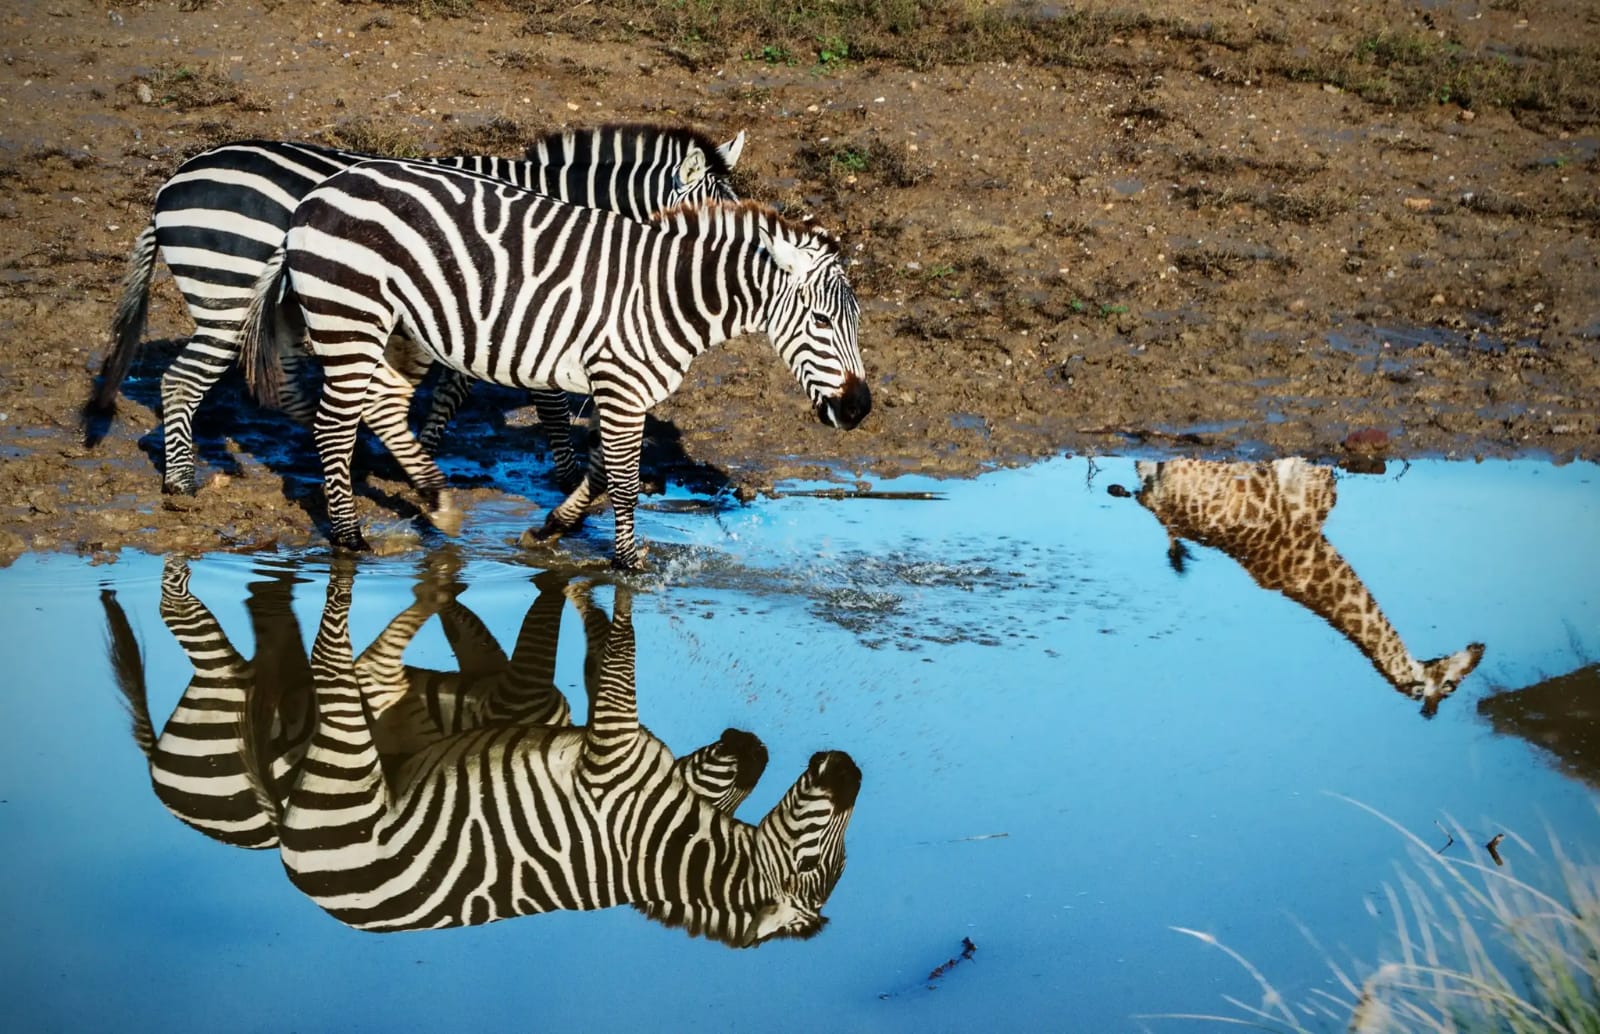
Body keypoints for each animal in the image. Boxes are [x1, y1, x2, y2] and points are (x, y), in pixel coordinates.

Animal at [81, 124, 742, 499]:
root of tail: (170, 184)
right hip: (232, 293)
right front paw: (565, 473)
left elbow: (453, 388)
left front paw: (416, 454)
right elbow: (545, 400)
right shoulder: (522, 304)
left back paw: (349, 453)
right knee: (182, 382)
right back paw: (181, 482)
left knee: (289, 387)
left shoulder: (476, 308)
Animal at [236, 159, 870, 569]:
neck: (668, 294)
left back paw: (437, 501)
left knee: (384, 405)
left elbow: (602, 473)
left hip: (399, 330)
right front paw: (630, 566)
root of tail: (317, 194)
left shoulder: (626, 389)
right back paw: (350, 540)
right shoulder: (620, 383)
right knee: (333, 426)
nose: (860, 410)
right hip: (351, 314)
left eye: (856, 321)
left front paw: (551, 529)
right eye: (820, 322)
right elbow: (623, 485)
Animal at [286, 569, 864, 941]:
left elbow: (618, 658)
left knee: (340, 665)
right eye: (816, 862)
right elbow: (609, 654)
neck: (661, 846)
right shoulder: (621, 751)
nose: (851, 771)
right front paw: (593, 582)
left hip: (349, 764)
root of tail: (306, 882)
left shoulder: (613, 751)